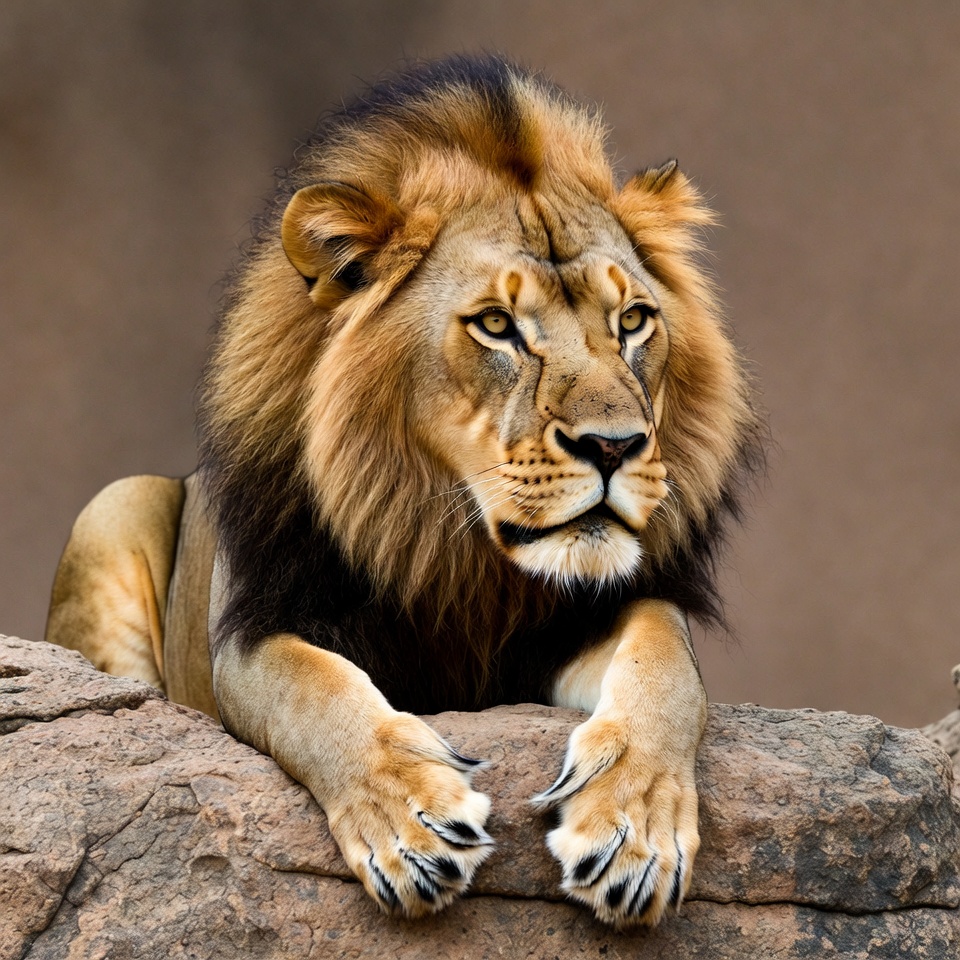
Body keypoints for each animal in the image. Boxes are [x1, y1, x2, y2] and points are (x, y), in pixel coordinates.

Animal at [46, 55, 762, 927]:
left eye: (632, 321)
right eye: (496, 325)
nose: (614, 446)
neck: (453, 548)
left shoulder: (590, 620)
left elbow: (668, 666)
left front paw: (633, 830)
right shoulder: (254, 628)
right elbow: (316, 693)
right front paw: (415, 830)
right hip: (113, 505)